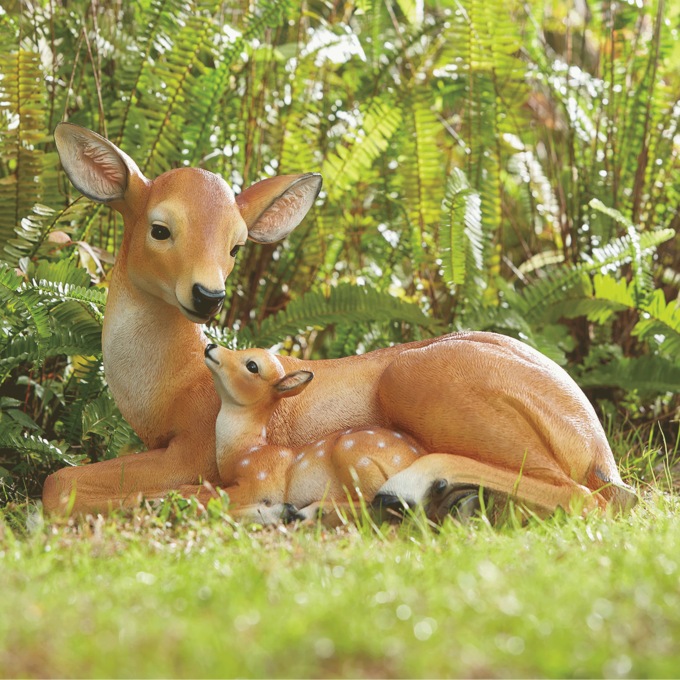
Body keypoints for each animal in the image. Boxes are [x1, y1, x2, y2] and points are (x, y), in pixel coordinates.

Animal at [200, 343, 424, 525]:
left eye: (252, 366)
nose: (210, 346)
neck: (243, 452)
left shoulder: (258, 481)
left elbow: (208, 499)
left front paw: (278, 510)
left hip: (352, 456)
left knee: (373, 503)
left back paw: (307, 512)